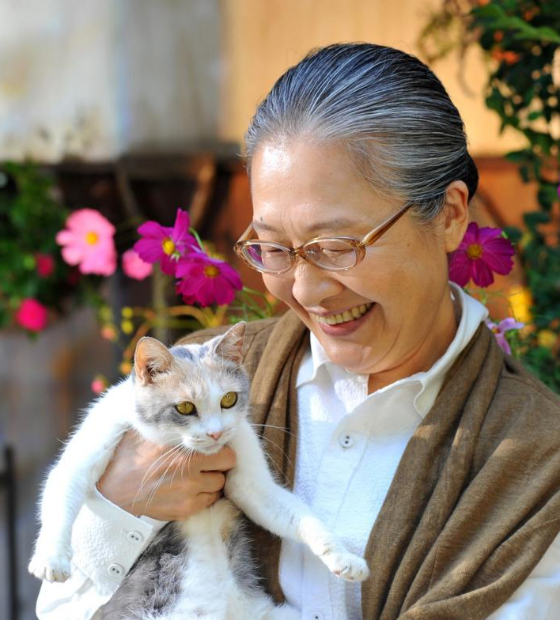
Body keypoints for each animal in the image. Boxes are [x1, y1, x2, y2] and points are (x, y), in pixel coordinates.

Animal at [31, 324, 372, 620]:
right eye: (184, 407)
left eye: (229, 399)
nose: (215, 433)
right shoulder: (97, 434)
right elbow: (64, 487)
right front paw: (51, 558)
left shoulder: (249, 478)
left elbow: (297, 515)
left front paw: (344, 558)